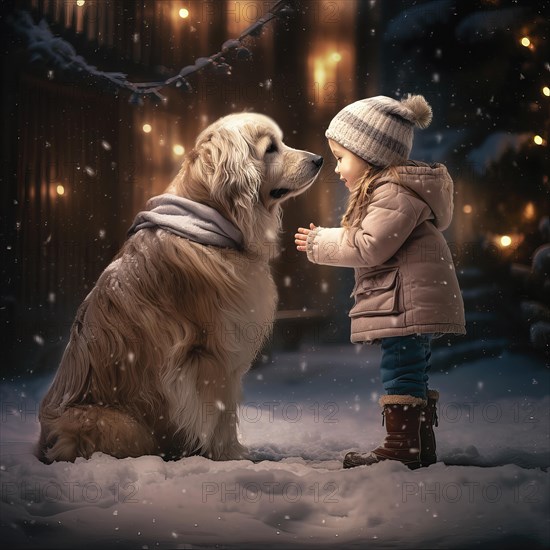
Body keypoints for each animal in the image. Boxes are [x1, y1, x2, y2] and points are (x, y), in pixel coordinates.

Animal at [38, 114, 324, 464]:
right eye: (270, 148)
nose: (319, 159)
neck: (212, 222)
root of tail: (47, 440)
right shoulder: (212, 353)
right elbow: (221, 412)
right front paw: (229, 457)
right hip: (117, 424)